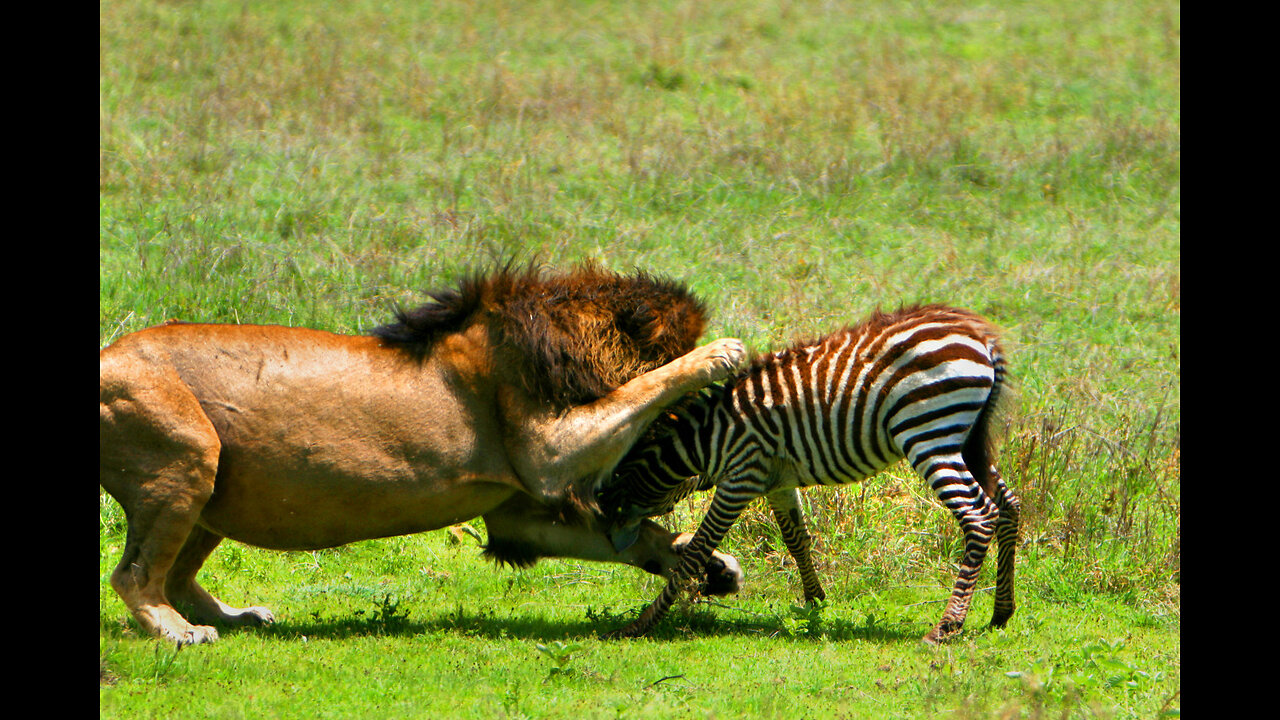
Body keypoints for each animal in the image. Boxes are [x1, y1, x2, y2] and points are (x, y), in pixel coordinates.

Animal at [99, 263, 747, 645]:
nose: (699, 479)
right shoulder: (549, 453)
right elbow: (643, 387)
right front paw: (720, 353)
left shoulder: (518, 515)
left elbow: (635, 539)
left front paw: (708, 563)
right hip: (189, 454)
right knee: (135, 575)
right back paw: (178, 631)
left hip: (215, 490)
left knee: (177, 575)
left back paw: (235, 617)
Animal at [596, 304, 1020, 643]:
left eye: (616, 476)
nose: (603, 521)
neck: (708, 440)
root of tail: (981, 338)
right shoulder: (776, 481)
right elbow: (796, 538)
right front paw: (816, 601)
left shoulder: (741, 476)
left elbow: (696, 550)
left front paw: (641, 624)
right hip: (968, 438)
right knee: (1009, 506)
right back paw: (1001, 612)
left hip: (928, 433)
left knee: (979, 516)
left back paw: (946, 627)